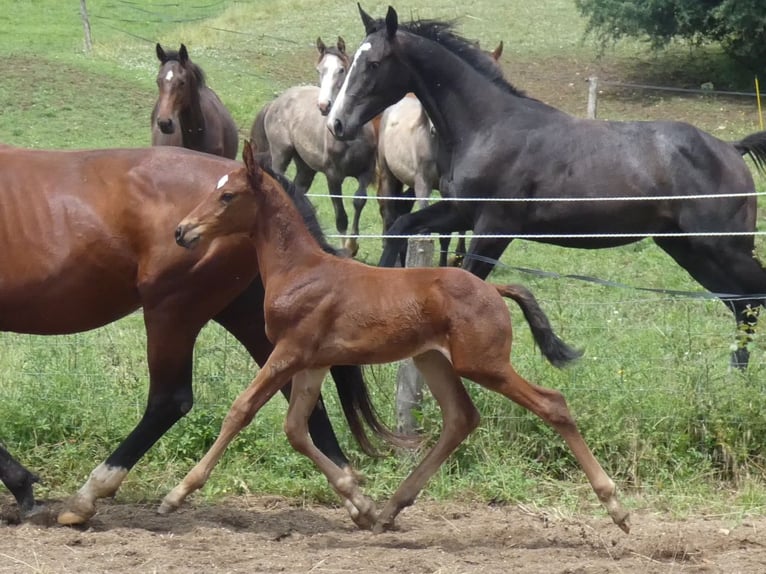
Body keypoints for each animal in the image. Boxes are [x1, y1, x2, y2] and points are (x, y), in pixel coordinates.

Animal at [0, 145, 396, 528]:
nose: (183, 231)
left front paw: (23, 488)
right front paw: (22, 486)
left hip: (173, 311)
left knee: (169, 400)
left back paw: (89, 496)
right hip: (257, 318)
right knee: (300, 399)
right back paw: (355, 496)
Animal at [170, 141, 632, 536]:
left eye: (228, 196)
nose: (181, 231)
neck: (301, 270)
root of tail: (493, 290)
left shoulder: (290, 351)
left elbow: (241, 410)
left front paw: (177, 494)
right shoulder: (314, 362)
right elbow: (296, 429)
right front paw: (360, 502)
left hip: (484, 364)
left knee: (552, 404)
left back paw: (617, 508)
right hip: (434, 360)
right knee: (461, 418)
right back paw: (390, 508)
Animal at [330, 4, 766, 368]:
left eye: (373, 63)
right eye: (351, 62)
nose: (336, 123)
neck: (487, 126)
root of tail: (731, 149)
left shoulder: (495, 226)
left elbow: (470, 282)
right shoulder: (459, 211)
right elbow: (401, 228)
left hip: (721, 247)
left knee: (752, 297)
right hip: (688, 249)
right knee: (742, 304)